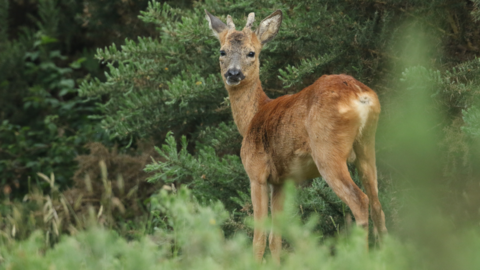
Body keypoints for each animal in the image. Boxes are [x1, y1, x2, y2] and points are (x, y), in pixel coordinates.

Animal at [204, 9, 388, 262]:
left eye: (251, 52)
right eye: (222, 51)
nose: (233, 73)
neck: (252, 117)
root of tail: (361, 96)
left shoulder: (256, 172)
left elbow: (259, 237)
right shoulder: (281, 181)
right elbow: (276, 238)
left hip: (327, 151)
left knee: (360, 201)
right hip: (367, 146)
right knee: (378, 205)